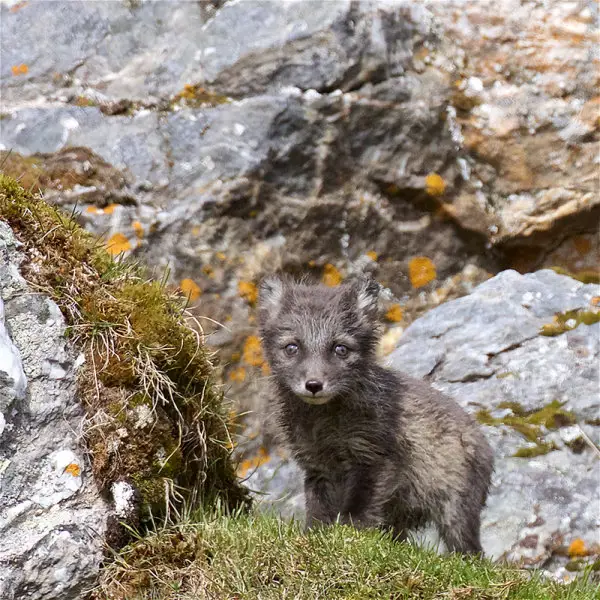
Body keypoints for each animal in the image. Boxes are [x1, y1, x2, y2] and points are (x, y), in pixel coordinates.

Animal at [258, 274, 492, 556]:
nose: (314, 385)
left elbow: (359, 509)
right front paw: (315, 535)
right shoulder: (317, 467)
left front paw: (348, 535)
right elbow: (318, 510)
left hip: (455, 509)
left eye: (340, 349)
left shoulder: (375, 457)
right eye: (292, 347)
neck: (325, 424)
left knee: (472, 552)